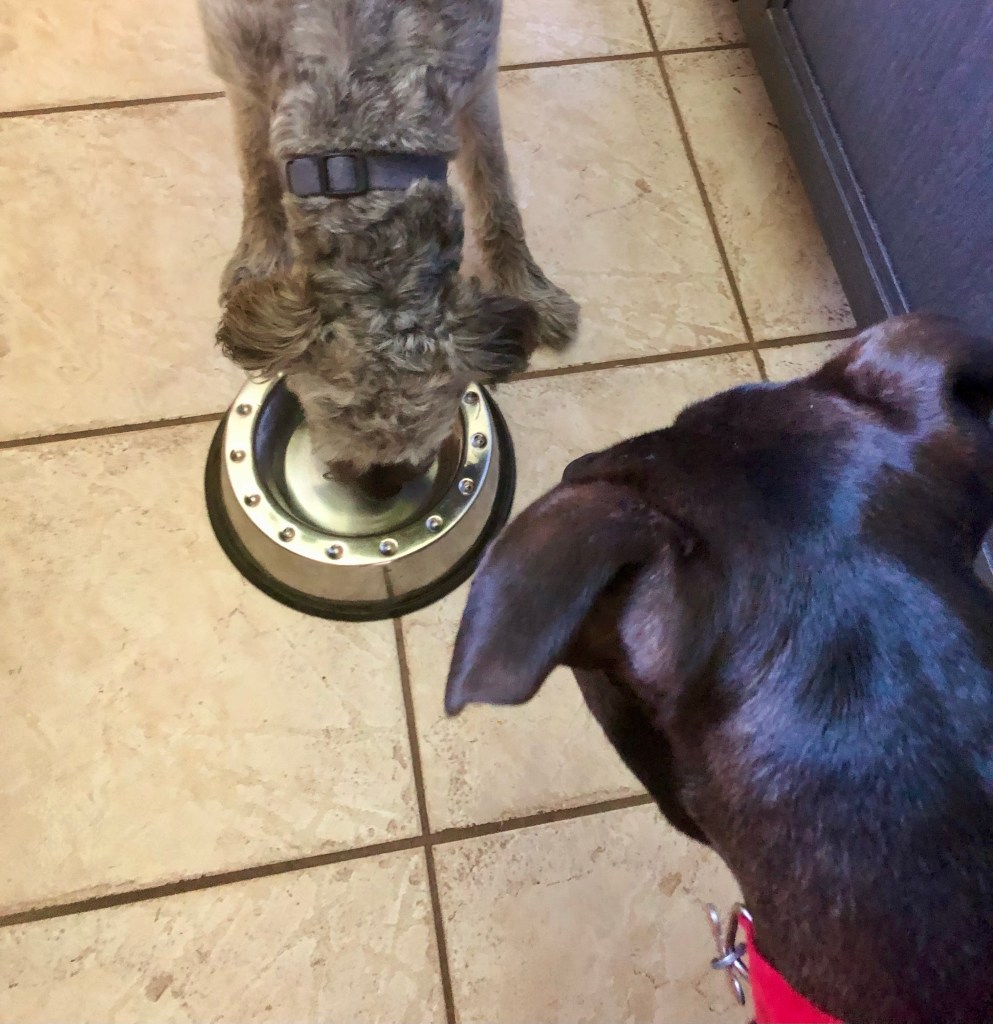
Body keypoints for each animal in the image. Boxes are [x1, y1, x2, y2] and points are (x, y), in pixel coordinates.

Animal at [198, 0, 578, 496]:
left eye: (429, 413)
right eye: (334, 406)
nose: (381, 488)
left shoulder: (477, 83)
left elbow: (496, 191)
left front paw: (528, 287)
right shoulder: (238, 68)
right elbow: (258, 172)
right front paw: (258, 259)